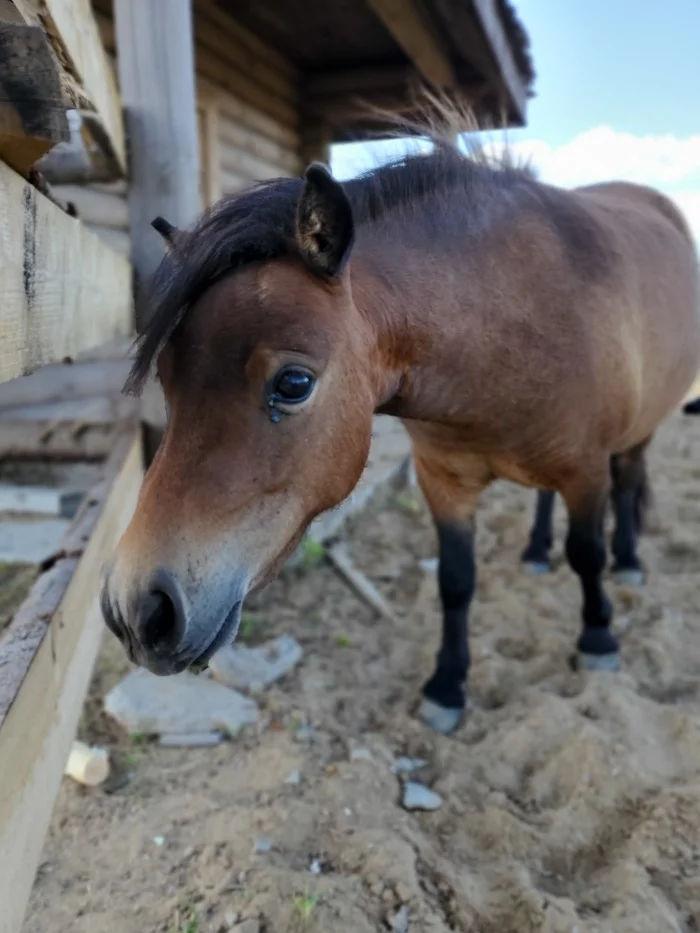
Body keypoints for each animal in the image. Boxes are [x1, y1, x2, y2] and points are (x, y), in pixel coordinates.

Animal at [101, 129, 696, 736]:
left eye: (293, 383)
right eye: (167, 379)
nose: (138, 610)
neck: (512, 326)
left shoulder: (586, 473)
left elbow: (586, 553)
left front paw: (598, 637)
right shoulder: (443, 480)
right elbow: (455, 580)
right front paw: (447, 685)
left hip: (639, 432)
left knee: (629, 483)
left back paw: (629, 562)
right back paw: (534, 549)